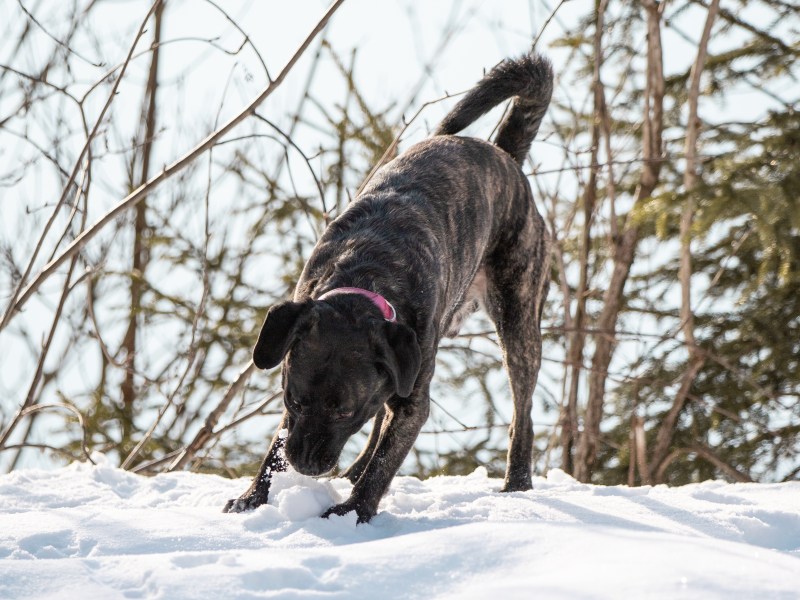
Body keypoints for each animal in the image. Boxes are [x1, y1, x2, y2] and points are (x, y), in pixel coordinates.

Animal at [222, 51, 552, 524]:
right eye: (295, 401)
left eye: (344, 410)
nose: (305, 465)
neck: (365, 273)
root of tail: (504, 155)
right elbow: (278, 447)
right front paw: (253, 497)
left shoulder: (415, 399)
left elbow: (386, 460)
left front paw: (353, 511)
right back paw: (353, 470)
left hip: (518, 323)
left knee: (520, 413)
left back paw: (517, 484)